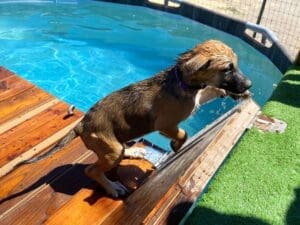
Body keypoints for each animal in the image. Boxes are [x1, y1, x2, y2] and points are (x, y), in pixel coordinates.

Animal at [18, 40, 251, 197]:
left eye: (236, 65)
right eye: (227, 69)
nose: (249, 84)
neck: (182, 82)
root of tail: (81, 125)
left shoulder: (197, 98)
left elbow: (209, 91)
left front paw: (230, 93)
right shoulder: (165, 124)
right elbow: (183, 132)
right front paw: (177, 145)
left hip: (115, 144)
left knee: (120, 152)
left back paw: (134, 152)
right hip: (110, 149)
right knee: (92, 169)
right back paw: (112, 188)